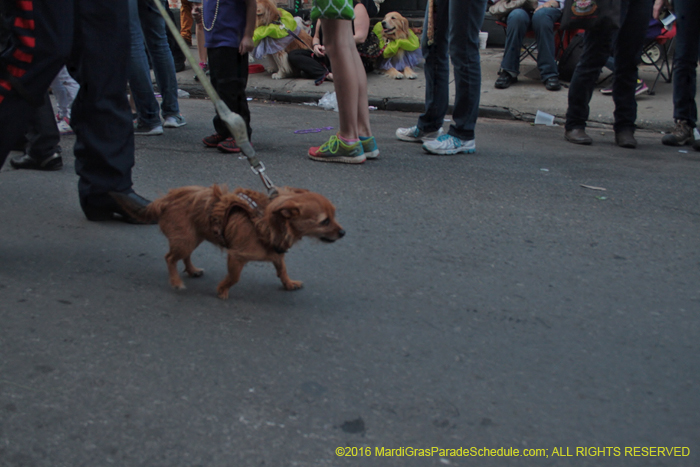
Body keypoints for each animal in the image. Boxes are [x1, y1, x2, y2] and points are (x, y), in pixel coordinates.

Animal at [110, 186, 348, 300]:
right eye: (324, 221)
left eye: (334, 215)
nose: (343, 232)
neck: (268, 222)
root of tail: (166, 200)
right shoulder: (236, 256)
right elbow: (234, 278)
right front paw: (222, 290)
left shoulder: (276, 254)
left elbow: (282, 269)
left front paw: (288, 283)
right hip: (186, 240)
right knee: (170, 258)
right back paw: (176, 282)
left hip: (192, 237)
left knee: (183, 256)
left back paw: (191, 270)